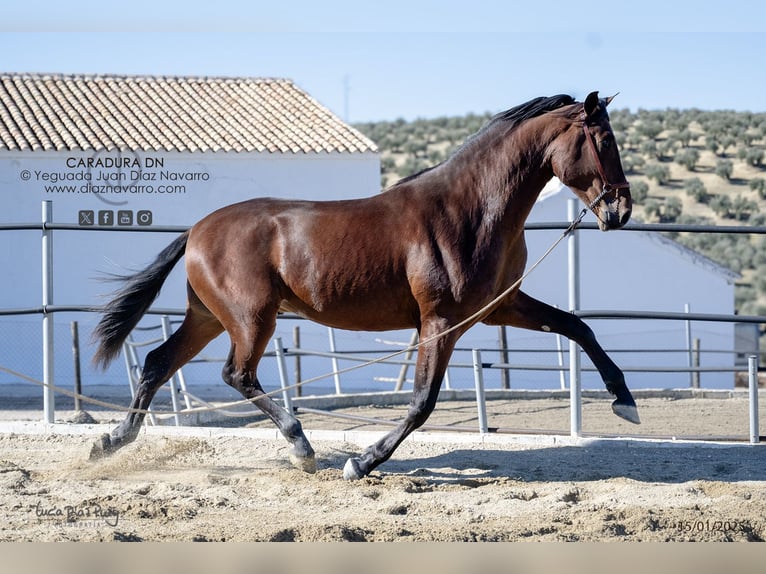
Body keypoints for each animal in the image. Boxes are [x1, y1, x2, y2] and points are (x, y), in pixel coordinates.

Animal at [90, 92, 640, 482]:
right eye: (604, 143)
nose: (621, 211)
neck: (473, 211)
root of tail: (197, 230)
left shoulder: (499, 307)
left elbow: (578, 328)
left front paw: (624, 402)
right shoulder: (440, 321)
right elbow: (421, 402)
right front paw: (363, 462)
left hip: (208, 317)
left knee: (159, 361)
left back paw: (110, 442)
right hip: (250, 319)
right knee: (236, 375)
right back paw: (302, 448)